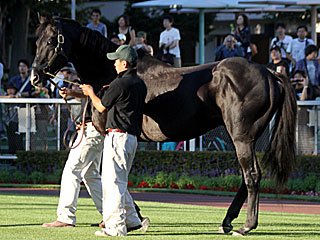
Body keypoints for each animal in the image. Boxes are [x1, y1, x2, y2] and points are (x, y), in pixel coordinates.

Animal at [31, 17, 296, 236]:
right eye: (37, 40)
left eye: (51, 41)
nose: (35, 77)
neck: (110, 74)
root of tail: (269, 72)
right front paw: (132, 218)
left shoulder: (110, 133)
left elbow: (114, 177)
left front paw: (132, 218)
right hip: (246, 137)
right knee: (247, 175)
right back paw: (227, 221)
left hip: (241, 135)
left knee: (252, 175)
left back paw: (246, 226)